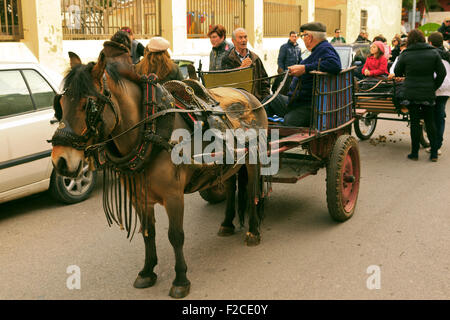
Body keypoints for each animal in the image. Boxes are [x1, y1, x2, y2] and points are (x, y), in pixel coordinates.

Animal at [49, 40, 268, 298]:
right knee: (232, 185)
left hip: (254, 159)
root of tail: (248, 94)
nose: (60, 161)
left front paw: (181, 279)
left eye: (87, 106)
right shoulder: (138, 197)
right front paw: (147, 271)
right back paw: (226, 224)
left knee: (252, 191)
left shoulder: (174, 196)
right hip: (229, 160)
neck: (150, 130)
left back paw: (253, 231)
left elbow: (175, 236)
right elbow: (148, 232)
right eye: (60, 104)